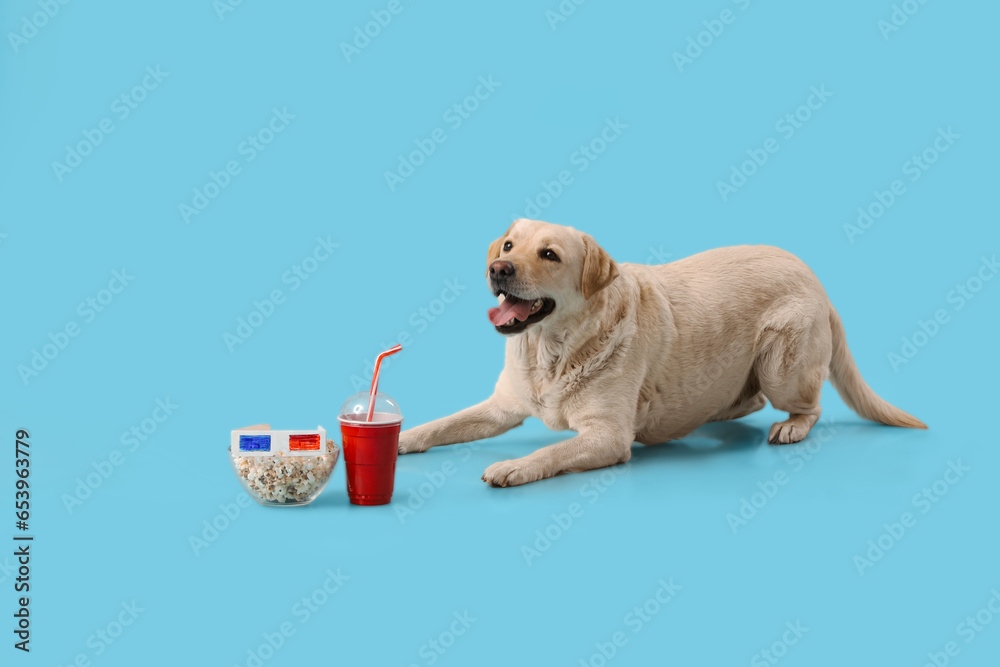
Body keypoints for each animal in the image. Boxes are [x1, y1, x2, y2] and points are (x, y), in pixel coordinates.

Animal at [394, 219, 924, 486]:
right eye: (507, 245)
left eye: (549, 255)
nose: (498, 269)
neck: (552, 348)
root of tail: (817, 278)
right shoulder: (500, 407)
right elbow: (442, 424)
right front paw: (401, 437)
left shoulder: (608, 436)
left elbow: (551, 450)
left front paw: (513, 465)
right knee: (747, 399)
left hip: (782, 363)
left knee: (808, 405)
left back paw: (791, 425)